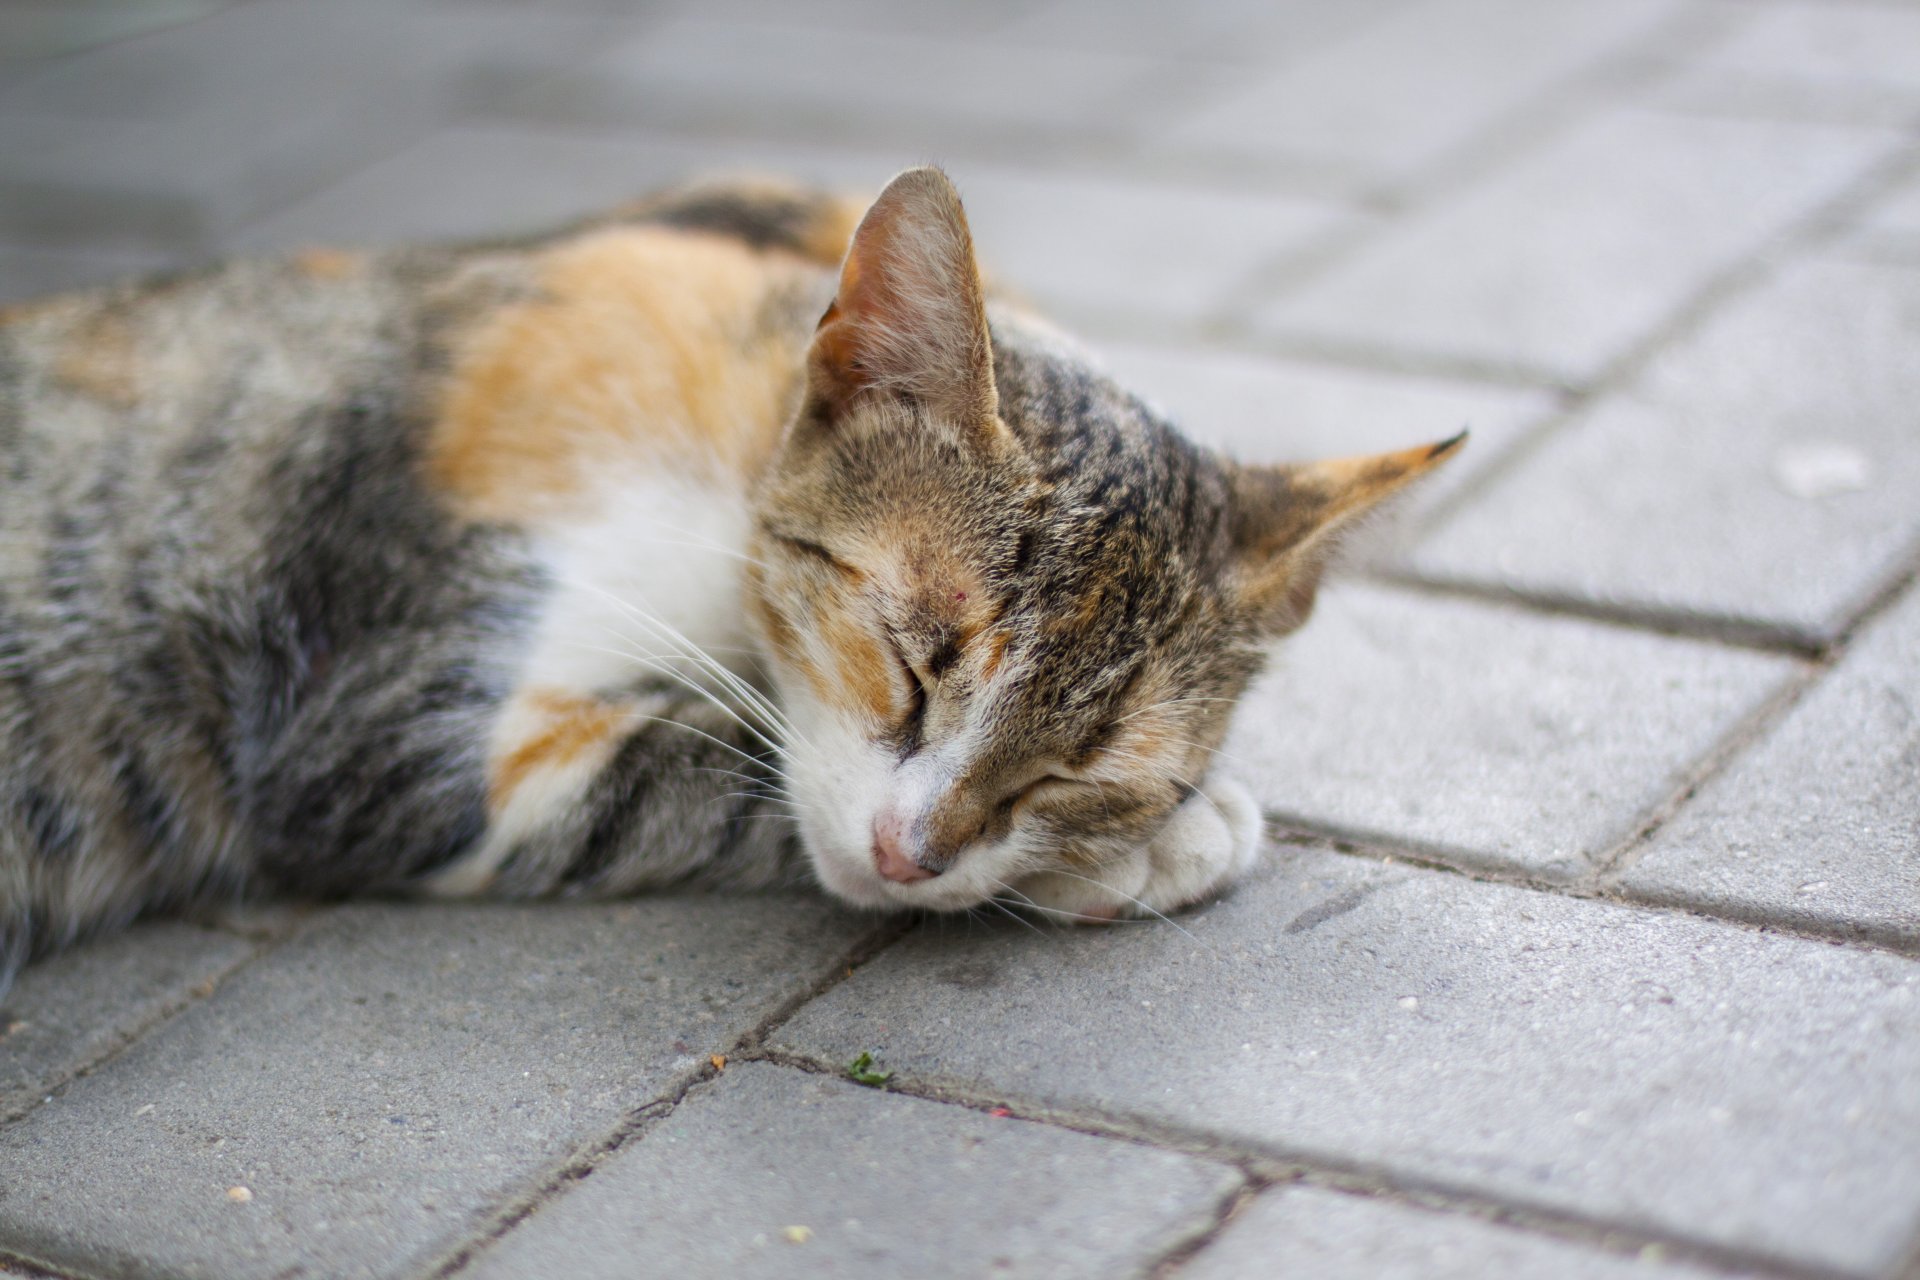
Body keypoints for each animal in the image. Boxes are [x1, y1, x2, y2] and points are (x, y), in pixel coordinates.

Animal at [0, 165, 1451, 990]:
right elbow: (712, 763)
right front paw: (1162, 849)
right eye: (910, 658)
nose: (914, 855)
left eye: (1080, 773)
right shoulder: (379, 728)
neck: (736, 433)